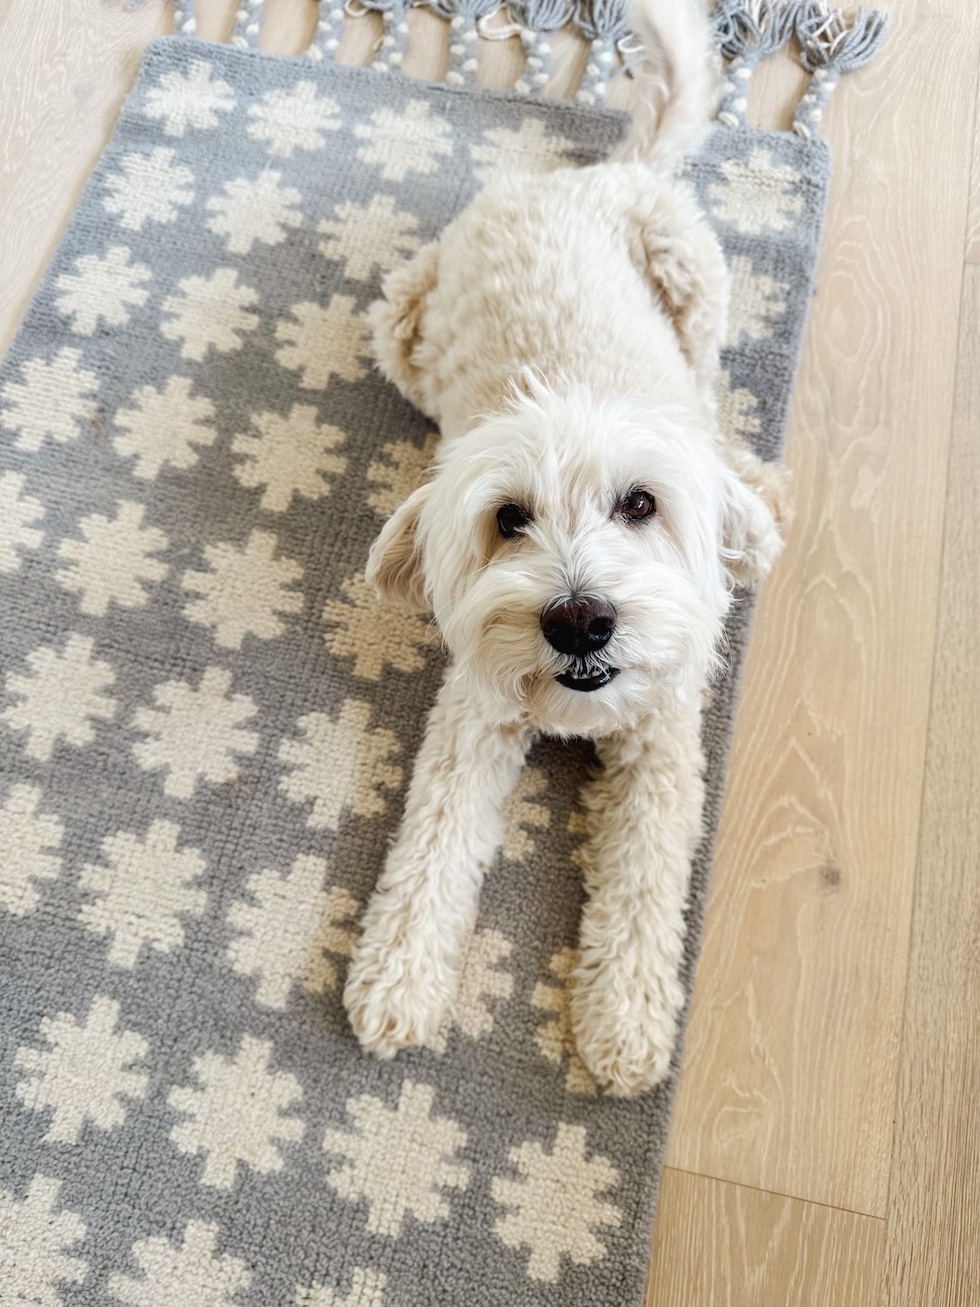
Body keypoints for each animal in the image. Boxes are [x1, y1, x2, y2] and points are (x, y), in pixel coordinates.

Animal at [342, 0, 789, 1092]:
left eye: (639, 504)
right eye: (509, 518)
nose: (579, 618)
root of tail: (590, 177)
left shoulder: (664, 751)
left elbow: (643, 884)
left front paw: (623, 1019)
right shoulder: (470, 723)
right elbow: (431, 847)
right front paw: (398, 976)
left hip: (695, 283)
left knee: (711, 399)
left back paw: (745, 496)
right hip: (401, 322)